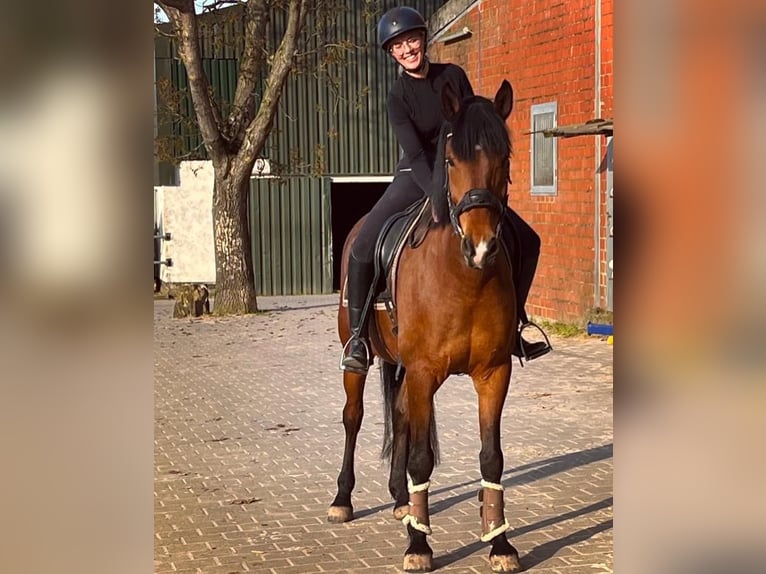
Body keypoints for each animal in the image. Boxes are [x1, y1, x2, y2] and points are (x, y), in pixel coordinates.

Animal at [328, 79, 522, 573]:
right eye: (450, 160)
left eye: (505, 158)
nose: (481, 246)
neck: (463, 277)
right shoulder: (422, 373)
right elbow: (420, 459)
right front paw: (418, 544)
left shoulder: (493, 374)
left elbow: (491, 458)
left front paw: (500, 543)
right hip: (360, 357)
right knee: (354, 417)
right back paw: (343, 499)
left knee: (397, 415)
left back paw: (401, 500)